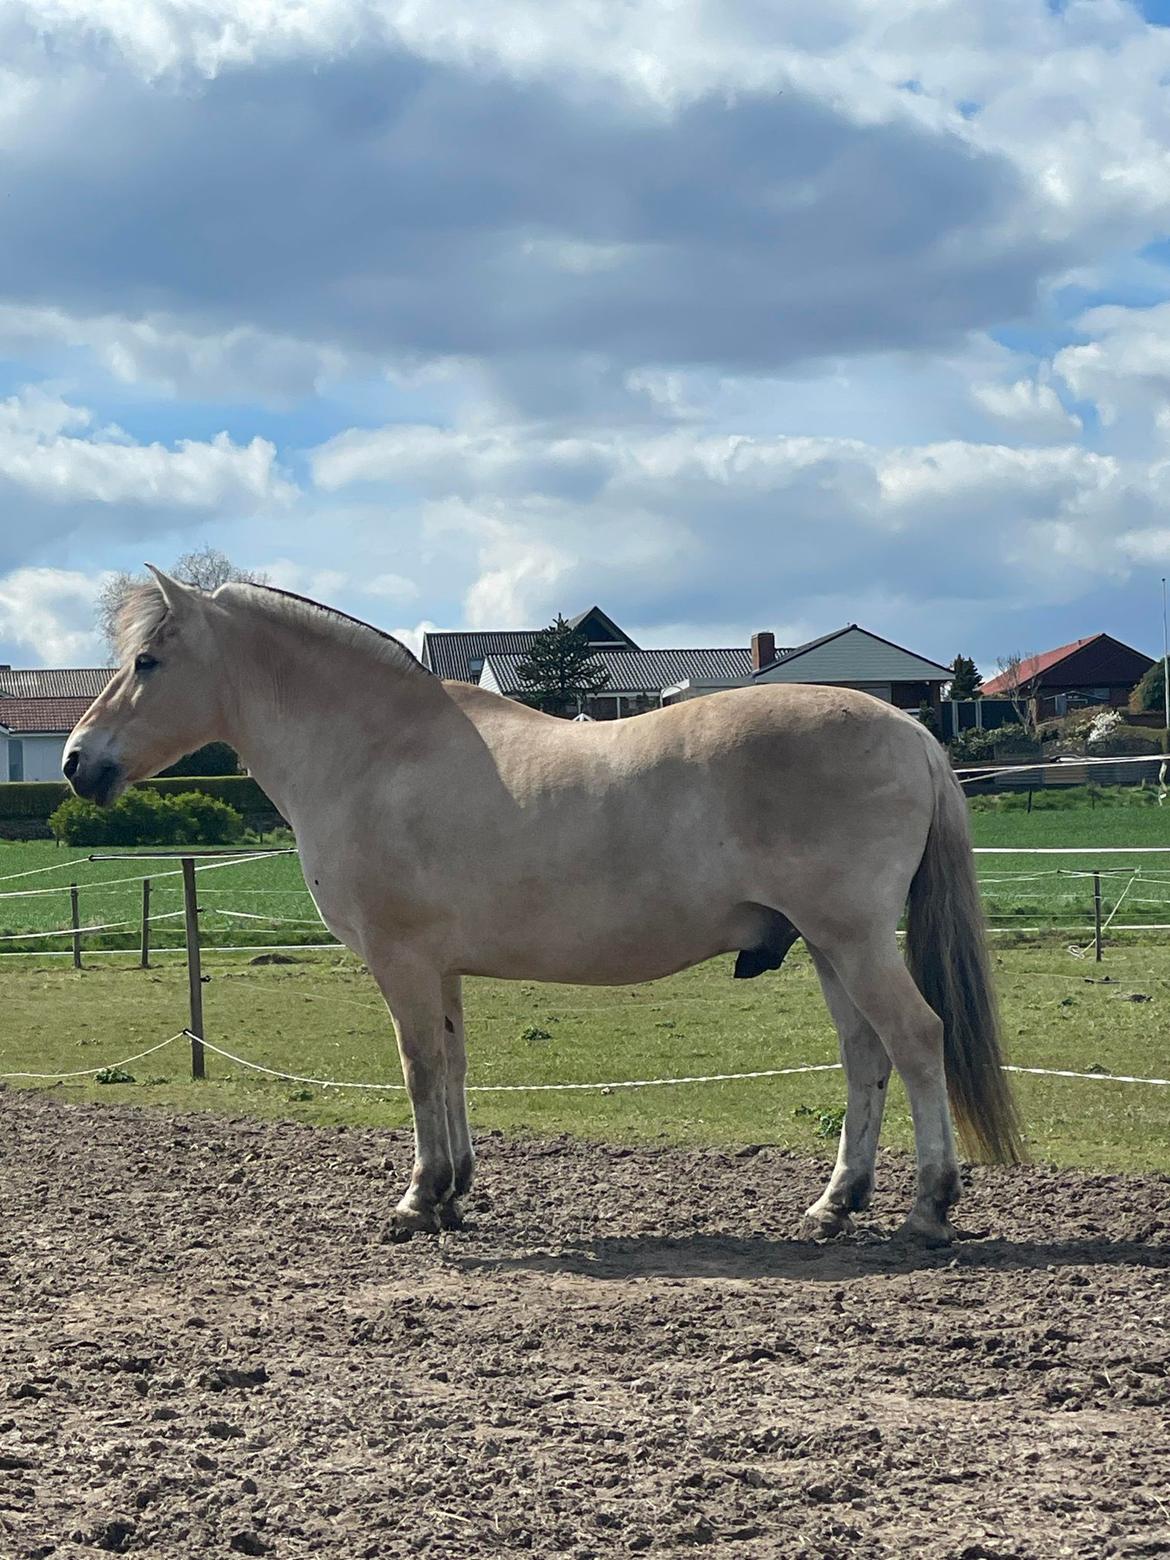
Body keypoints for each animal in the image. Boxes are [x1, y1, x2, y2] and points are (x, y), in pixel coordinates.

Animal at [63, 570, 1023, 1241]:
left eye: (147, 661)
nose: (77, 762)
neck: (377, 750)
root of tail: (909, 729)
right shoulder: (439, 967)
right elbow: (451, 1067)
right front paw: (453, 1193)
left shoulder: (400, 961)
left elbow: (418, 1069)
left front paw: (416, 1202)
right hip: (827, 946)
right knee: (865, 1056)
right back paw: (835, 1205)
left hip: (853, 939)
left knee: (916, 1040)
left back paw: (928, 1210)